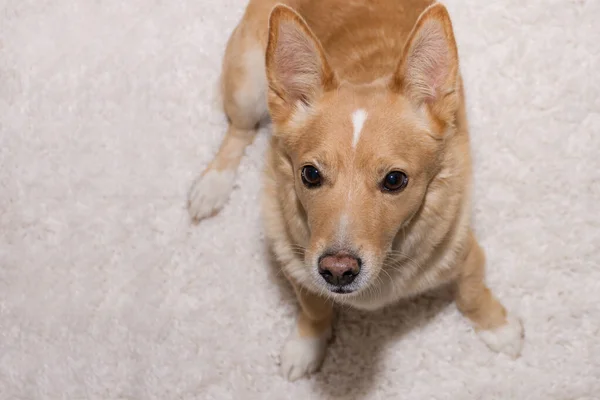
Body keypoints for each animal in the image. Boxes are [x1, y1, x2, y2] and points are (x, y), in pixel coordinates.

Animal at [189, 0, 524, 382]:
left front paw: (498, 327)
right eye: (310, 174)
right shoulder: (297, 268)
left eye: (394, 180)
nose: (337, 270)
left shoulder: (467, 254)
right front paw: (306, 345)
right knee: (238, 132)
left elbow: (471, 293)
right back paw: (212, 186)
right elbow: (314, 307)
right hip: (246, 84)